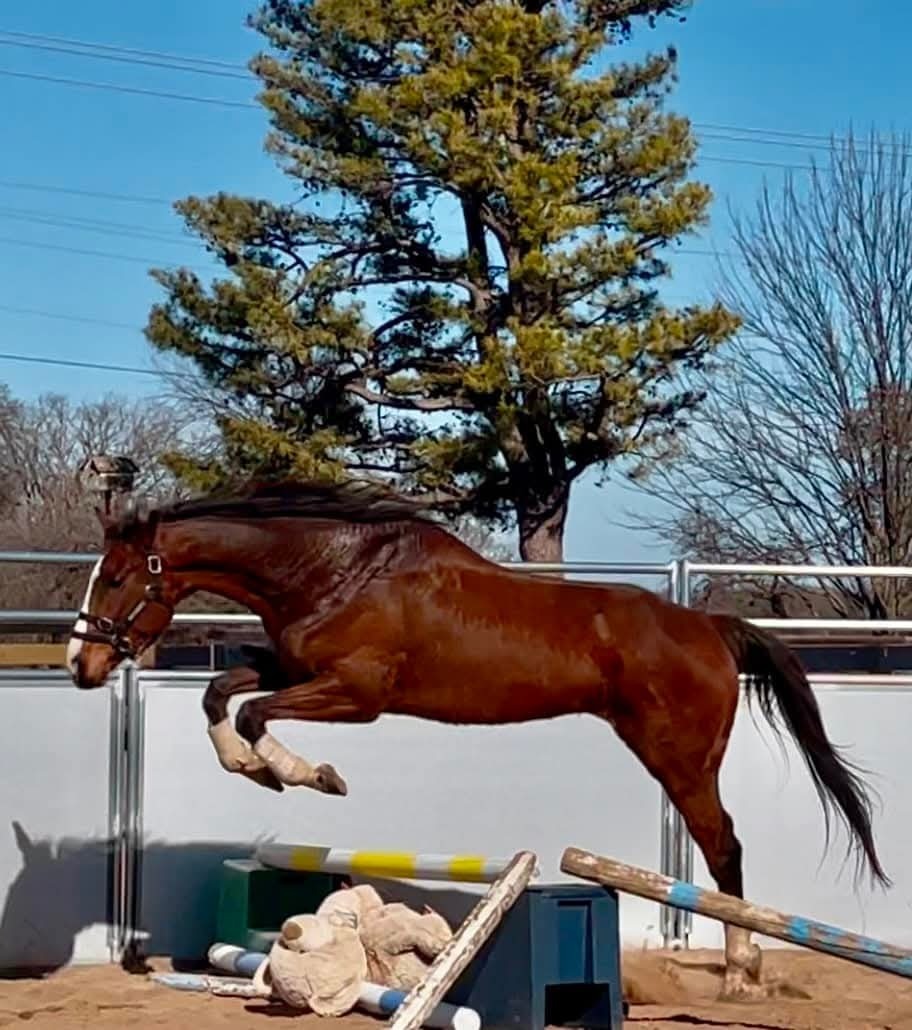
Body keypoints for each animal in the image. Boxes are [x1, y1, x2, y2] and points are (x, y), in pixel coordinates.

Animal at [64, 478, 888, 1000]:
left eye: (115, 578)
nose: (81, 665)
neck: (337, 570)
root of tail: (710, 626)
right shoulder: (294, 667)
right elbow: (221, 695)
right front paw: (257, 768)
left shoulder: (358, 696)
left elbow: (256, 715)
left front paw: (303, 774)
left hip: (680, 758)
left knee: (724, 846)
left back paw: (743, 972)